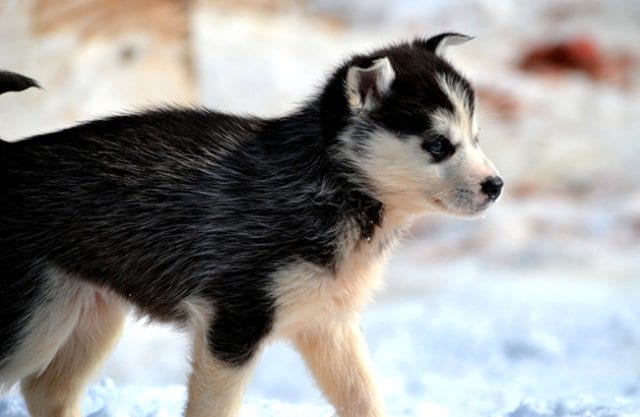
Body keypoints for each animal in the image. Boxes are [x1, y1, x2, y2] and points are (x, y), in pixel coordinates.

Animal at [0, 33, 500, 416]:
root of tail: (8, 153)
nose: (495, 186)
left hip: (88, 314)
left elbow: (363, 397)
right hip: (35, 321)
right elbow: (215, 407)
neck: (334, 185)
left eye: (476, 138)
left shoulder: (328, 325)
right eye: (438, 145)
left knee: (46, 390)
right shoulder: (233, 320)